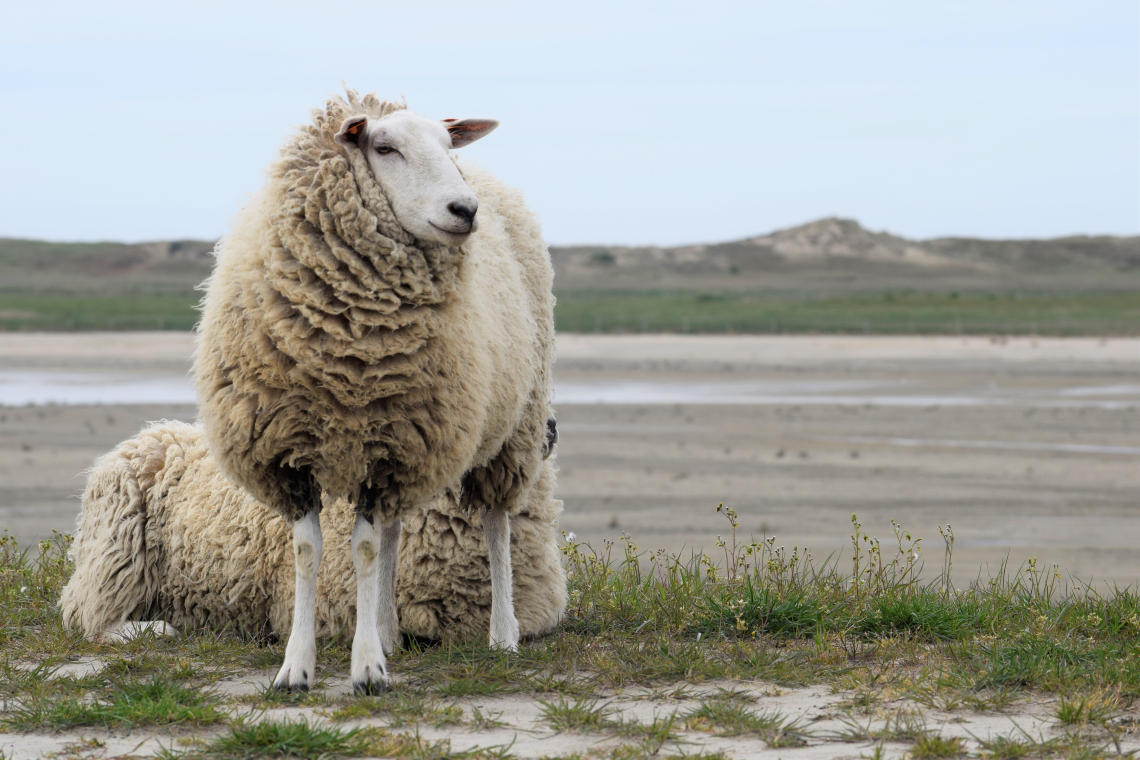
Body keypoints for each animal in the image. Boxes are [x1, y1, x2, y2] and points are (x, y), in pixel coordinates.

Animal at [198, 90, 558, 697]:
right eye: (384, 147)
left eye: (448, 145)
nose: (465, 210)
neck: (351, 344)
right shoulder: (299, 451)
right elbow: (310, 551)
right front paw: (297, 665)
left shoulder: (387, 446)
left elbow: (363, 550)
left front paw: (366, 666)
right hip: (404, 438)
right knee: (393, 528)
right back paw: (390, 628)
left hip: (512, 425)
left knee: (495, 522)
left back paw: (502, 633)